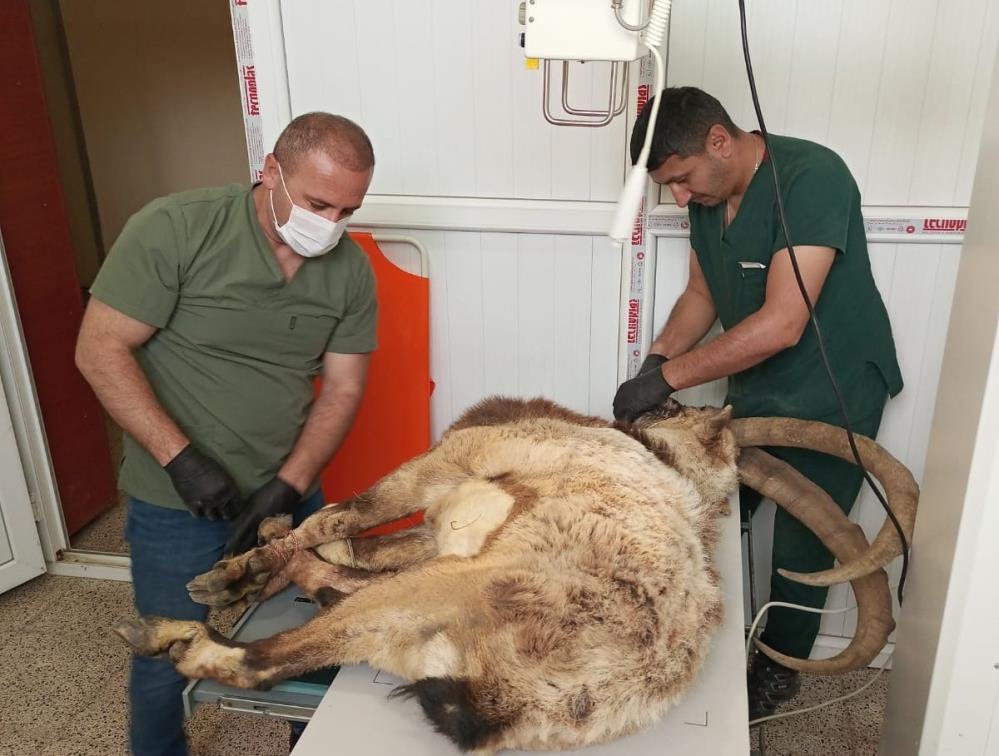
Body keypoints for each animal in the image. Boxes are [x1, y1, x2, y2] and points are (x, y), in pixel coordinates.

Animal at [115, 398, 916, 752]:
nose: (652, 397)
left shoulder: (446, 464)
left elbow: (348, 514)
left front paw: (230, 574)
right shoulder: (435, 532)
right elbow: (354, 545)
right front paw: (254, 561)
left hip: (442, 591)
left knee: (261, 657)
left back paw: (174, 631)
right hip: (412, 616)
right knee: (341, 594)